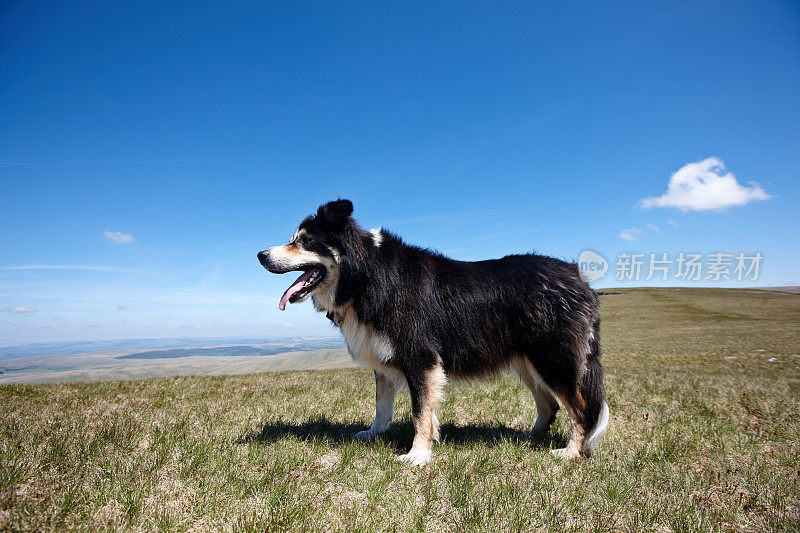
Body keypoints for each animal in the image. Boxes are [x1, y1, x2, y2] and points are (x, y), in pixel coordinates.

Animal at [260, 200, 608, 466]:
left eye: (304, 240)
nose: (261, 255)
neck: (366, 276)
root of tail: (579, 279)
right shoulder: (382, 356)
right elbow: (381, 405)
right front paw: (373, 434)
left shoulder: (421, 358)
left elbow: (420, 412)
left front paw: (417, 456)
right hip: (527, 360)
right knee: (549, 404)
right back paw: (526, 439)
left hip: (555, 358)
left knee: (582, 408)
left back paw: (571, 452)